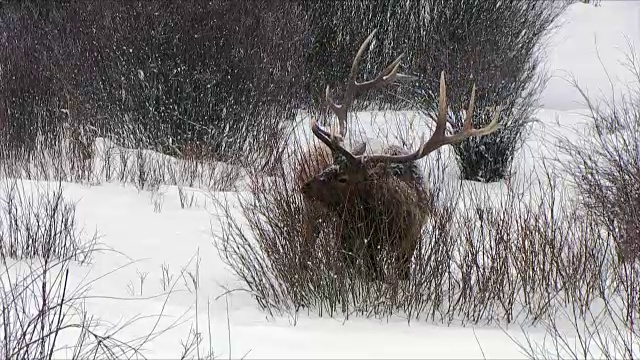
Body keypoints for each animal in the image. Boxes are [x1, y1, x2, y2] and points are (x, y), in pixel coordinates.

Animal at [298, 29, 502, 280]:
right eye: (329, 167)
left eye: (343, 178)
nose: (305, 186)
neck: (385, 222)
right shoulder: (353, 238)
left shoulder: (409, 240)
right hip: (320, 219)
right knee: (309, 243)